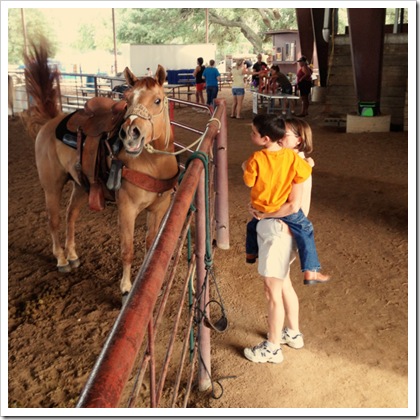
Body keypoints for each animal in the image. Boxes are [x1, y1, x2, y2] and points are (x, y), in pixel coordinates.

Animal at [22, 38, 179, 296]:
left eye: (157, 100)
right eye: (128, 99)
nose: (131, 133)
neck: (153, 163)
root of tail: (51, 122)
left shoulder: (159, 208)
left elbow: (150, 246)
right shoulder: (127, 209)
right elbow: (127, 249)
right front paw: (126, 288)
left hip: (80, 185)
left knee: (70, 216)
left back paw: (72, 255)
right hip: (52, 187)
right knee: (54, 220)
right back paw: (62, 260)